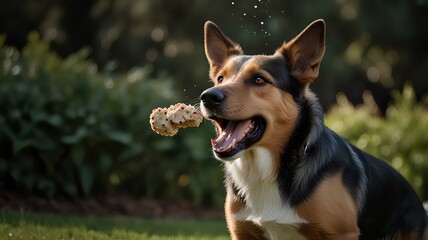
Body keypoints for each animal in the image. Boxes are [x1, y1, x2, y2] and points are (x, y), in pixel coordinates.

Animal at [199, 19, 426, 240]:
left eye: (259, 79)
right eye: (220, 79)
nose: (208, 96)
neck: (266, 170)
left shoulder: (341, 233)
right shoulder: (243, 233)